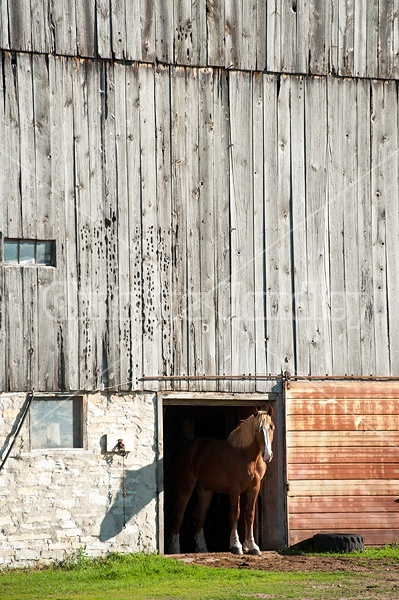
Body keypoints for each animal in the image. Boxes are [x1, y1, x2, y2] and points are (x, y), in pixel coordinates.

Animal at [169, 406, 276, 556]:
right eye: (257, 429)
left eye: (271, 427)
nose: (267, 455)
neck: (246, 456)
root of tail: (189, 448)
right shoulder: (235, 488)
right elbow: (235, 513)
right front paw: (236, 545)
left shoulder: (254, 487)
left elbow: (249, 515)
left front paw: (252, 546)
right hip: (186, 487)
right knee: (179, 513)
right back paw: (175, 549)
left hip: (205, 491)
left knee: (199, 516)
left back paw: (202, 548)